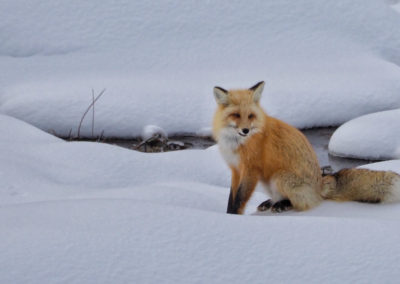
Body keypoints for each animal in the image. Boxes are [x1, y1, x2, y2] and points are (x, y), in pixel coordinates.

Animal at [212, 81, 400, 214]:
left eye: (250, 116)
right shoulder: (236, 169)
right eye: (236, 115)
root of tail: (320, 184)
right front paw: (228, 216)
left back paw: (284, 204)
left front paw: (234, 218)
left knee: (305, 203)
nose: (245, 130)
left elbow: (239, 199)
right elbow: (232, 198)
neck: (237, 143)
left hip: (279, 177)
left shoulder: (251, 169)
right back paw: (271, 202)